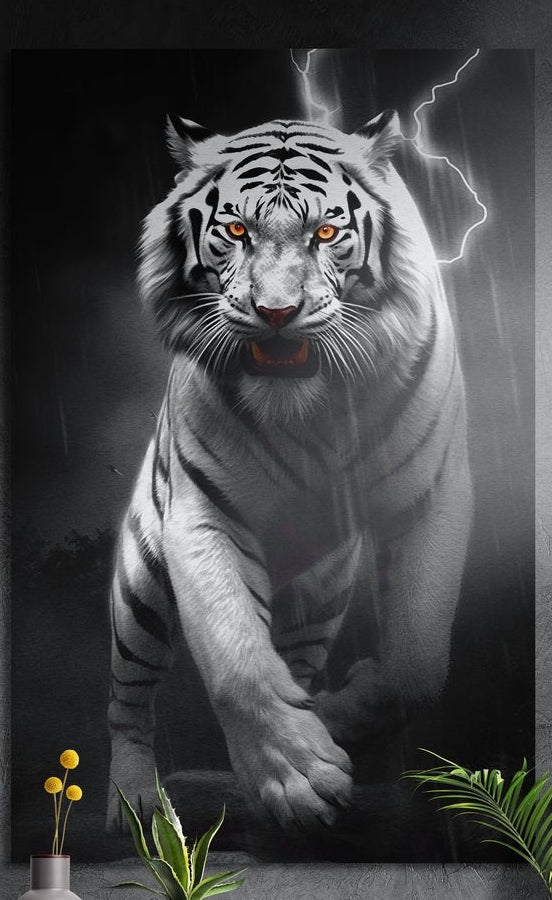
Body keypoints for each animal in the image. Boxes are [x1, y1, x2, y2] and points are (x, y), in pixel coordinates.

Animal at [106, 111, 473, 835]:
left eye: (325, 233)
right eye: (236, 231)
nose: (277, 313)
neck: (312, 409)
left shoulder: (430, 494)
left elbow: (416, 664)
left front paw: (334, 718)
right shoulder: (202, 513)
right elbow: (237, 658)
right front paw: (297, 778)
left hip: (322, 591)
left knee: (298, 658)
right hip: (140, 581)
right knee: (128, 699)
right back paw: (134, 800)